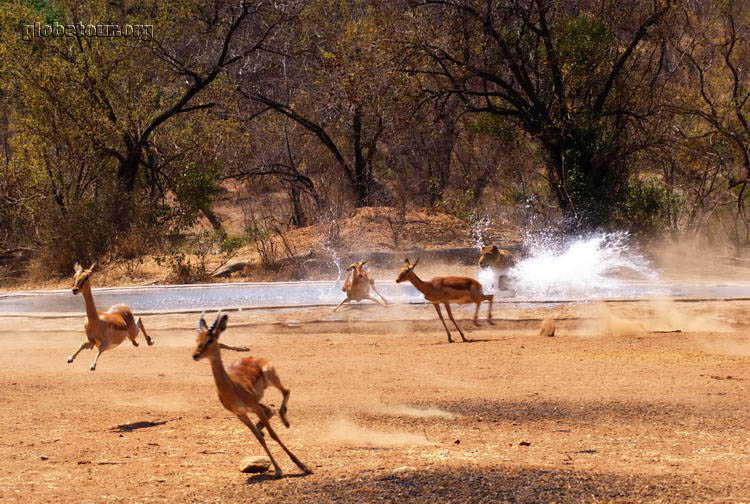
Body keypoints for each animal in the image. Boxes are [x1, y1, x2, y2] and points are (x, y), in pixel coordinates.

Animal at [195, 310, 312, 478]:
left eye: (210, 339)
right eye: (197, 339)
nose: (196, 355)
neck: (232, 387)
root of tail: (254, 358)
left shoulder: (255, 409)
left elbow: (273, 434)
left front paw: (303, 466)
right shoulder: (241, 414)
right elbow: (259, 438)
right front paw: (278, 469)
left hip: (271, 379)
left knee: (286, 391)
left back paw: (285, 422)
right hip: (259, 400)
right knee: (270, 409)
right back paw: (265, 425)